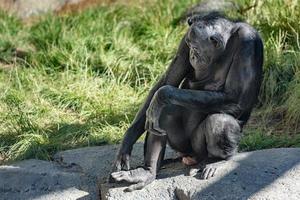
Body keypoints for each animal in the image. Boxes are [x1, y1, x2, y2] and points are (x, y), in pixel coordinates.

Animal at [109, 12, 262, 191]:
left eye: (196, 48)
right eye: (190, 45)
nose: (192, 55)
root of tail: (190, 156)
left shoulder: (248, 42)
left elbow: (235, 97)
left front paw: (163, 94)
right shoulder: (183, 42)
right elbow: (167, 80)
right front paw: (126, 144)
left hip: (198, 149)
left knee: (219, 122)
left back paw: (215, 161)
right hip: (180, 146)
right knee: (160, 115)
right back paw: (148, 171)